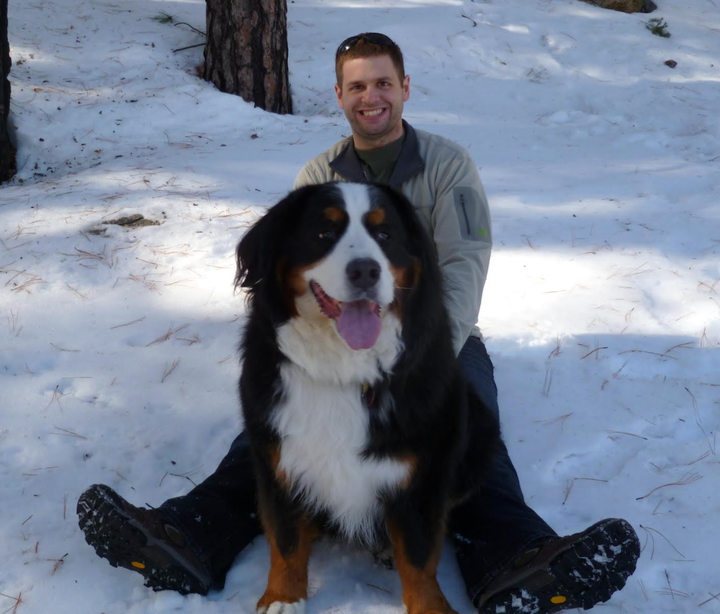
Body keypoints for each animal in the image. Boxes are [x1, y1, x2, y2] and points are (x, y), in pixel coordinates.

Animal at [236, 182, 500, 614]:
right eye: (324, 232)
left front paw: (428, 605)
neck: (343, 373)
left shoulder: (423, 472)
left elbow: (418, 555)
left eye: (385, 235)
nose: (365, 271)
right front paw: (283, 598)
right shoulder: (278, 461)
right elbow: (287, 540)